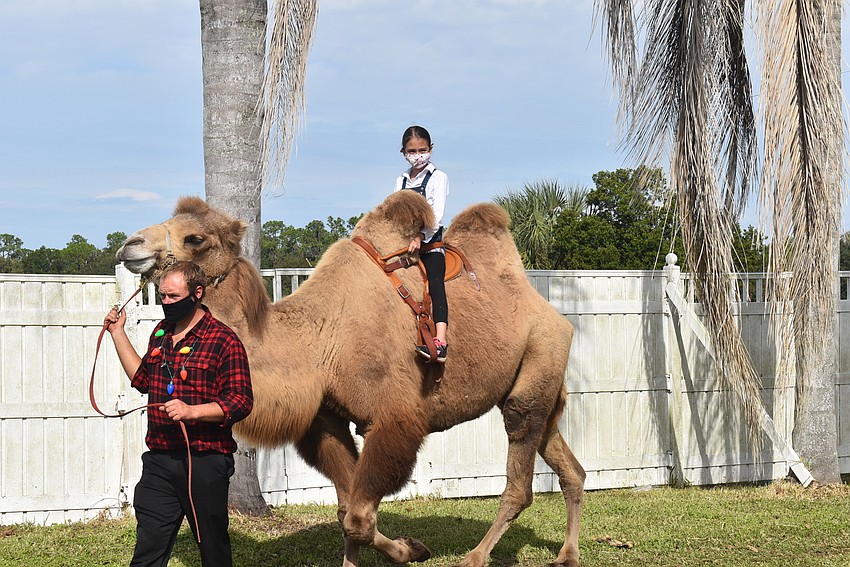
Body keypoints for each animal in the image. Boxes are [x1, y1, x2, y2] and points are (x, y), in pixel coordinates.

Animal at [116, 191, 585, 567]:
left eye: (195, 238)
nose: (129, 244)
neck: (319, 342)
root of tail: (552, 313)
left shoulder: (393, 420)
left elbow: (359, 516)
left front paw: (411, 549)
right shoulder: (326, 419)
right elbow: (347, 513)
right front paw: (406, 547)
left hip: (539, 358)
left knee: (519, 476)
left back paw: (476, 557)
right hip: (536, 386)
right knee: (568, 464)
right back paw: (566, 555)